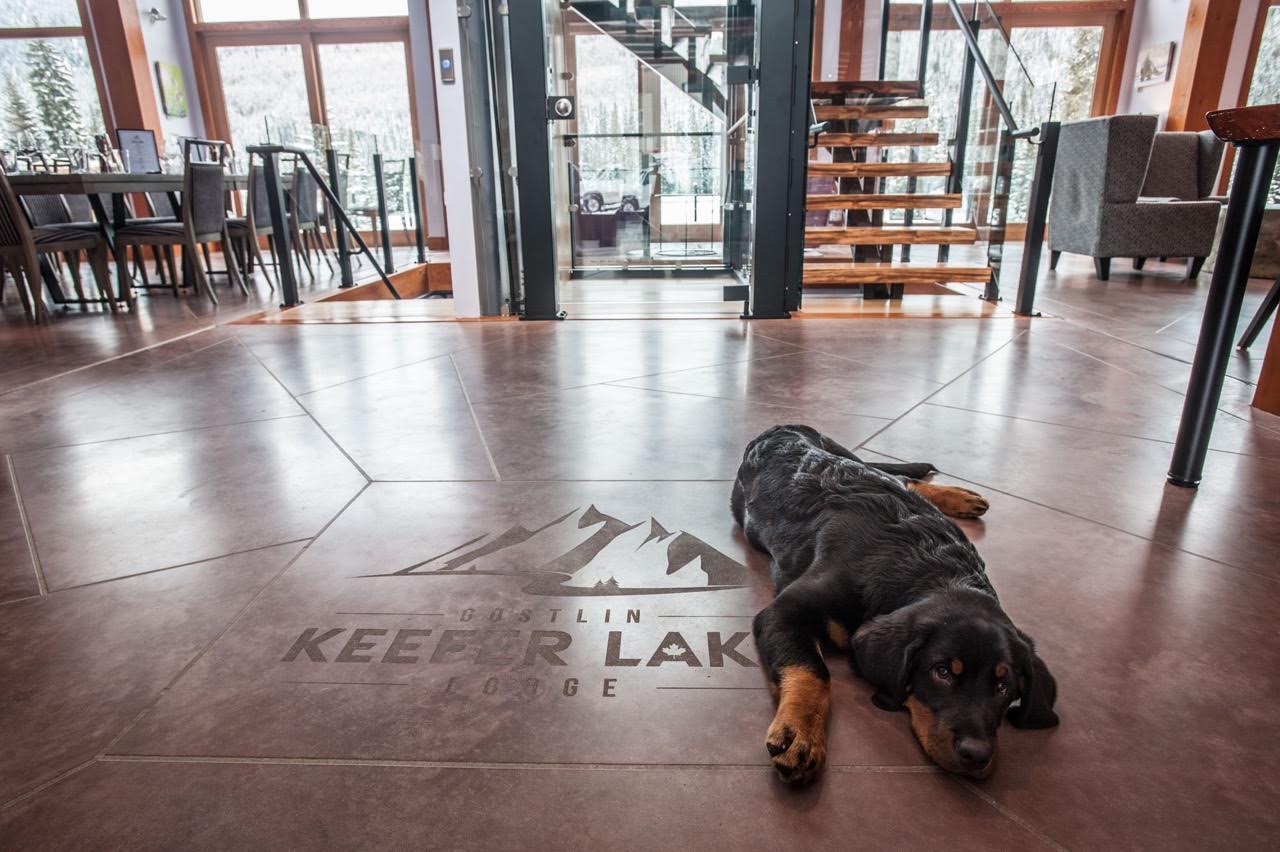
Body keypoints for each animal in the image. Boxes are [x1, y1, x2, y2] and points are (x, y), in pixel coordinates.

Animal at [732, 424, 1059, 782]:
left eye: (1004, 687)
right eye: (942, 672)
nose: (977, 754)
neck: (929, 567)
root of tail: (782, 427)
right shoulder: (783, 611)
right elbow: (812, 670)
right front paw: (802, 732)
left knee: (899, 478)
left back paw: (957, 496)